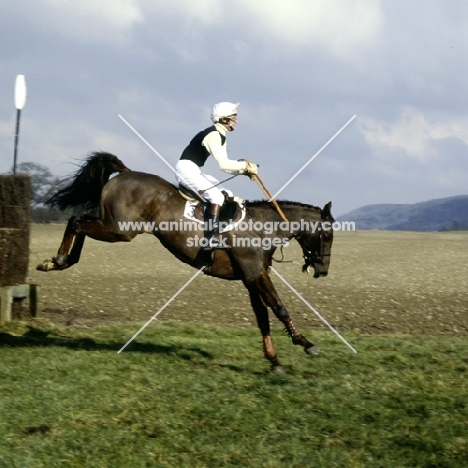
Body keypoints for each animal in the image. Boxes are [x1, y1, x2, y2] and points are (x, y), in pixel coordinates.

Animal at [38, 152, 334, 372]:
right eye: (328, 235)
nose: (322, 271)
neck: (262, 227)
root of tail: (125, 172)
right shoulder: (256, 275)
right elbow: (279, 308)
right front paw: (306, 343)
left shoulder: (251, 278)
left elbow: (263, 316)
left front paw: (274, 359)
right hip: (120, 231)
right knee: (76, 221)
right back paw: (59, 260)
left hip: (114, 228)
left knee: (78, 221)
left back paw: (60, 261)